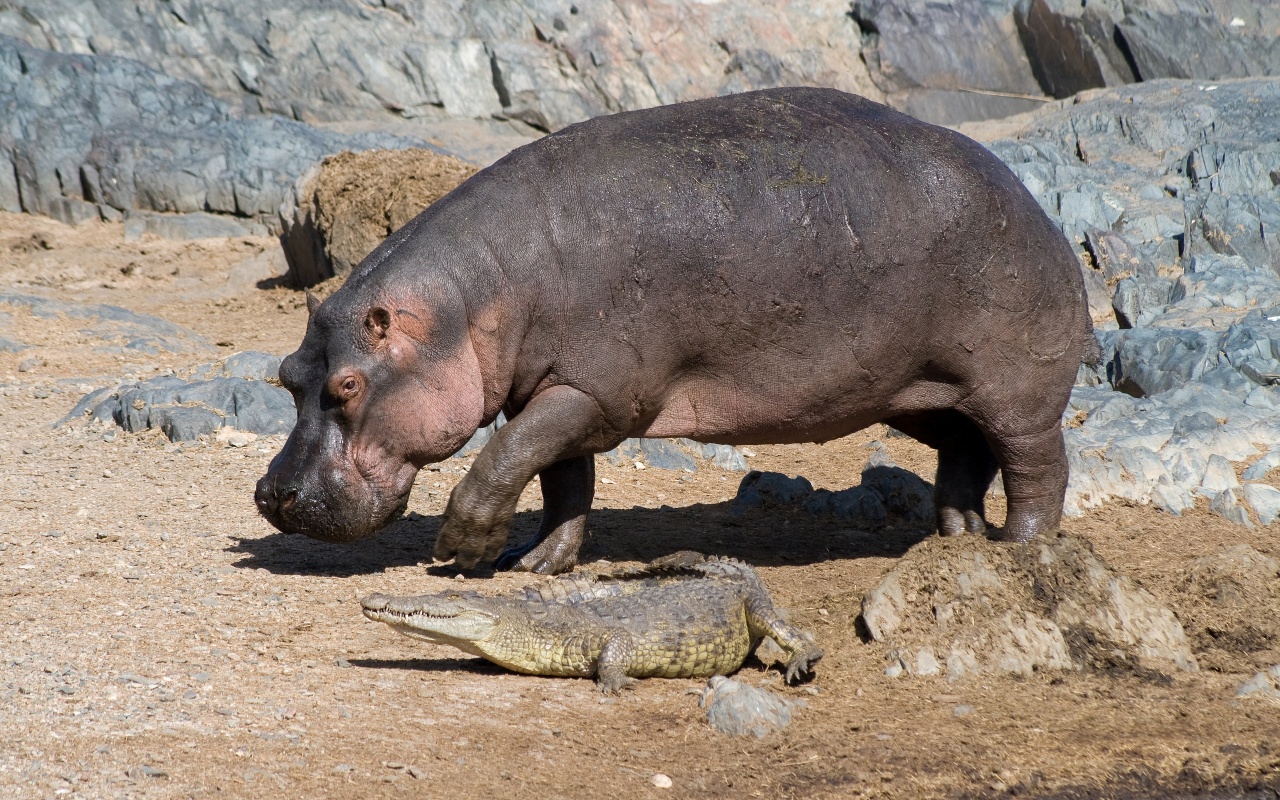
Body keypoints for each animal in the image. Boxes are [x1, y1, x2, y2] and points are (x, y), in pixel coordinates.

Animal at [254, 87, 1095, 573]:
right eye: (288, 377)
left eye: (347, 385)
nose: (271, 494)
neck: (468, 301)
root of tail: (1030, 200)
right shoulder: (557, 391)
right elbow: (559, 479)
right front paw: (536, 562)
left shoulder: (592, 391)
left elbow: (505, 460)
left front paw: (463, 551)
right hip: (922, 392)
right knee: (965, 454)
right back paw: (955, 537)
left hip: (1013, 390)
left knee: (1037, 464)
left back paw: (1019, 548)